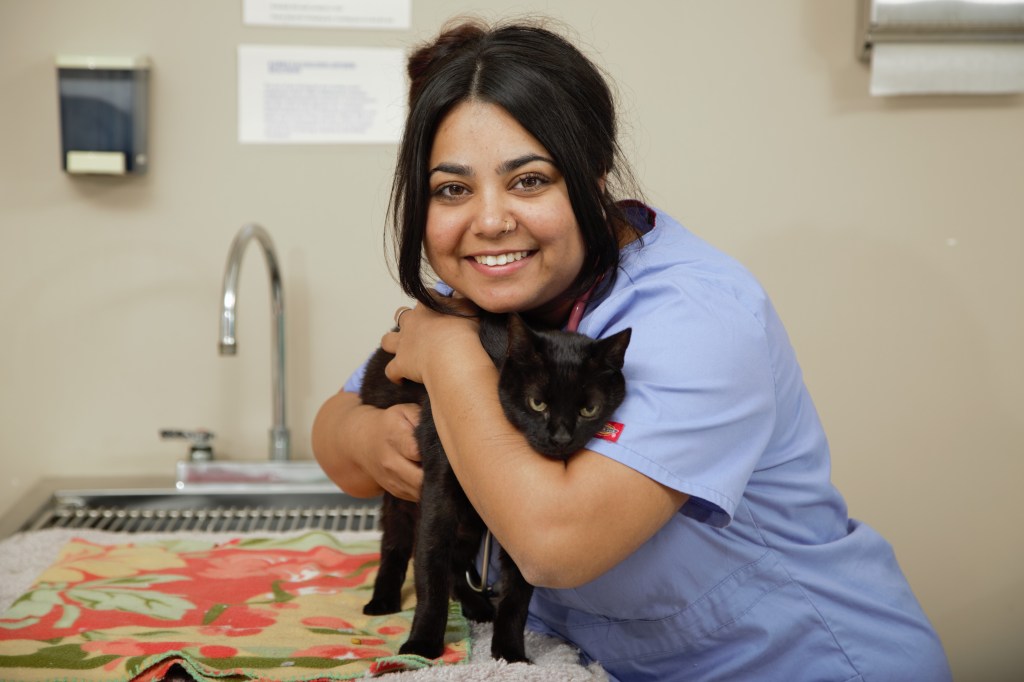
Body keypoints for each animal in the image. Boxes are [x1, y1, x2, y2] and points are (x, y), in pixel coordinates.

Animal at [360, 311, 630, 659]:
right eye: (537, 403)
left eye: (589, 409)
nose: (560, 438)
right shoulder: (439, 492)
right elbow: (430, 568)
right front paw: (421, 645)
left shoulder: (520, 517)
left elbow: (517, 593)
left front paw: (510, 652)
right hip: (405, 503)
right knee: (395, 545)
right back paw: (382, 601)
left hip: (472, 519)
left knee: (457, 563)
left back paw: (477, 606)